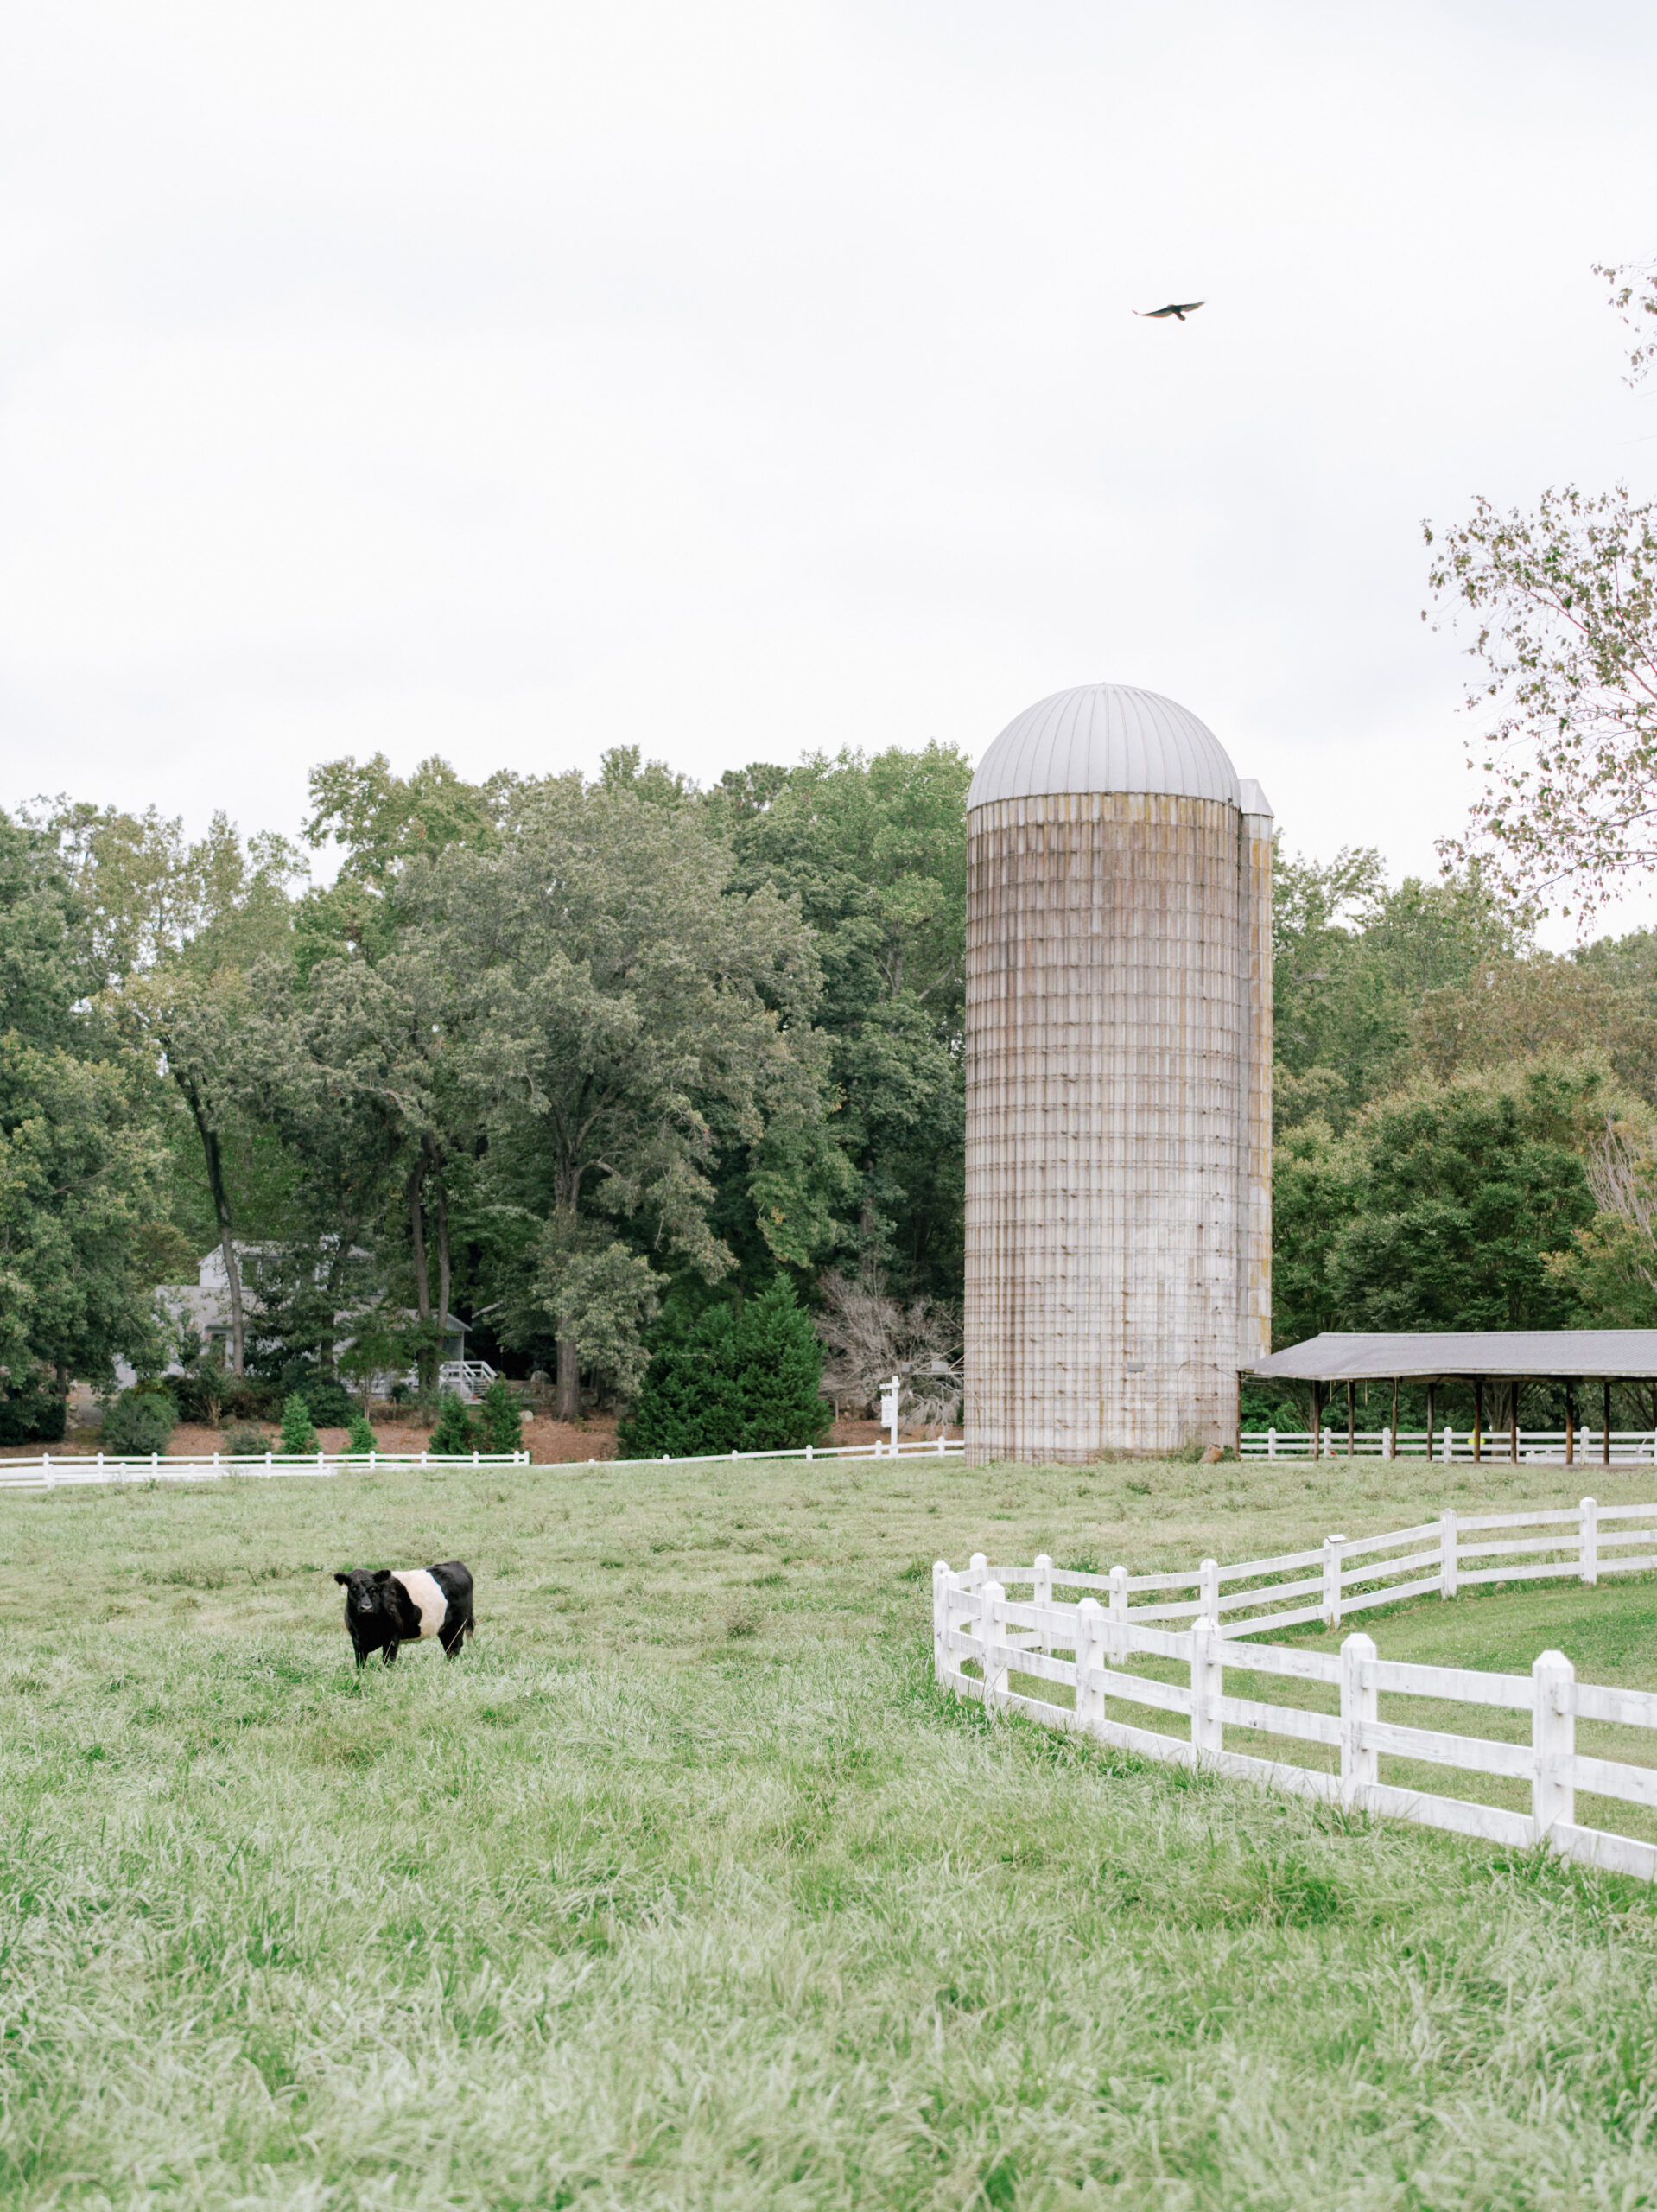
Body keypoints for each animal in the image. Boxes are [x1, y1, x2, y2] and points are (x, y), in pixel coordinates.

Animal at [329, 1566, 471, 1663]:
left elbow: (388, 1661)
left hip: (458, 1624)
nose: (366, 1607)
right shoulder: (357, 1640)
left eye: (374, 1588)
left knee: (454, 1648)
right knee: (448, 1647)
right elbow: (360, 1664)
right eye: (353, 1587)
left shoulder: (392, 1636)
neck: (365, 1626)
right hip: (444, 1628)